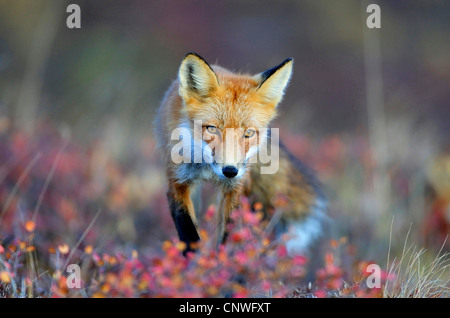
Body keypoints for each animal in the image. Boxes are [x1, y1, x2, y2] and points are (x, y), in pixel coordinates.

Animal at [156, 53, 326, 255]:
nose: (230, 171)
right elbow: (188, 232)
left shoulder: (235, 188)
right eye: (212, 129)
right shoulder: (177, 182)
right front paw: (194, 260)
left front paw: (223, 259)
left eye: (249, 133)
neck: (207, 168)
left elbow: (229, 234)